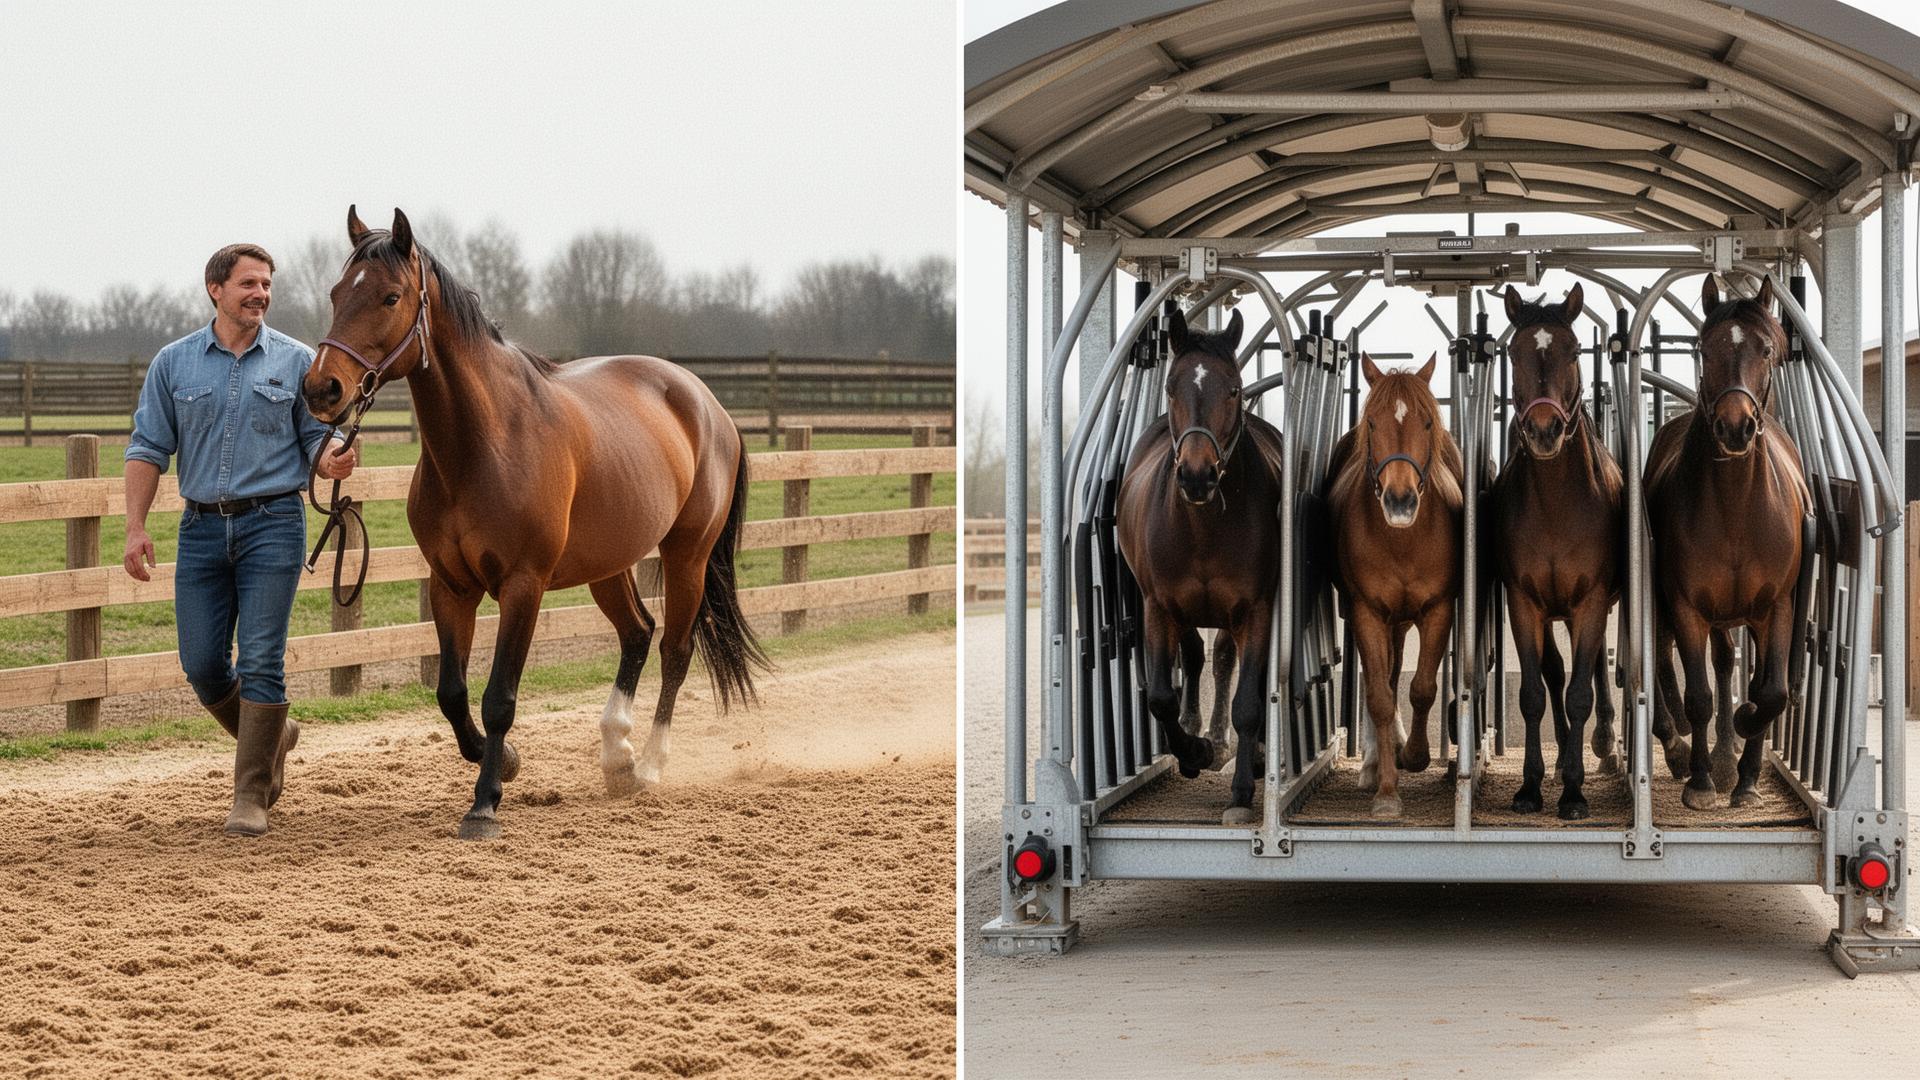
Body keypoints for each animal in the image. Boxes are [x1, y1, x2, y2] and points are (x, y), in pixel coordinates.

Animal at [302, 207, 767, 840]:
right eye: (335, 294)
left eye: (390, 296)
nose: (321, 389)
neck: (485, 443)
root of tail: (707, 402)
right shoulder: (451, 586)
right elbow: (452, 693)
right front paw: (505, 763)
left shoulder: (524, 586)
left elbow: (499, 697)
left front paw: (484, 804)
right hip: (609, 562)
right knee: (637, 633)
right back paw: (616, 755)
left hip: (686, 555)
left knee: (674, 649)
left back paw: (648, 765)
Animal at [1116, 308, 1285, 825]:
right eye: (1172, 387)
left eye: (1233, 389)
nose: (1196, 474)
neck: (1204, 527)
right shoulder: (1158, 606)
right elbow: (1159, 696)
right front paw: (1193, 751)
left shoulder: (1255, 608)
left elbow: (1249, 701)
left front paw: (1242, 789)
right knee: (1193, 655)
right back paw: (1198, 732)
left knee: (1229, 660)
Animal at [1324, 353, 1465, 818]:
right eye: (1372, 423)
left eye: (1427, 422)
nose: (1399, 501)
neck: (1403, 540)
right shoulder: (1366, 611)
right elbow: (1381, 698)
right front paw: (1386, 790)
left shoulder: (1439, 609)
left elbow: (1421, 688)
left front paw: (1416, 755)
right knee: (1379, 679)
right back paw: (1371, 765)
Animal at [1644, 275, 1809, 810]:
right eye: (1705, 347)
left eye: (1766, 349)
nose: (1735, 427)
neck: (1737, 509)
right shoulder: (1688, 605)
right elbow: (1698, 695)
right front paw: (1699, 781)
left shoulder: (1776, 606)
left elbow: (1769, 692)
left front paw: (1747, 772)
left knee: (1736, 670)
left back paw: (1731, 757)